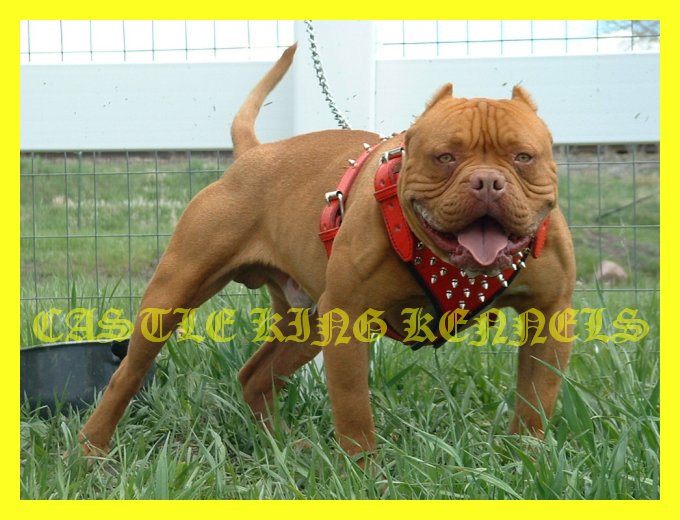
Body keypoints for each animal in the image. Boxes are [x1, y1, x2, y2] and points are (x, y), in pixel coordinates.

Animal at [80, 44, 576, 460]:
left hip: (306, 323)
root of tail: (253, 154)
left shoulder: (550, 317)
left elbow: (536, 400)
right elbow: (354, 411)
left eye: (523, 158)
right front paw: (364, 476)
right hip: (172, 295)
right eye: (445, 157)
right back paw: (91, 451)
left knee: (255, 375)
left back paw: (280, 447)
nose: (487, 181)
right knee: (127, 373)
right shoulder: (348, 320)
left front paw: (526, 460)